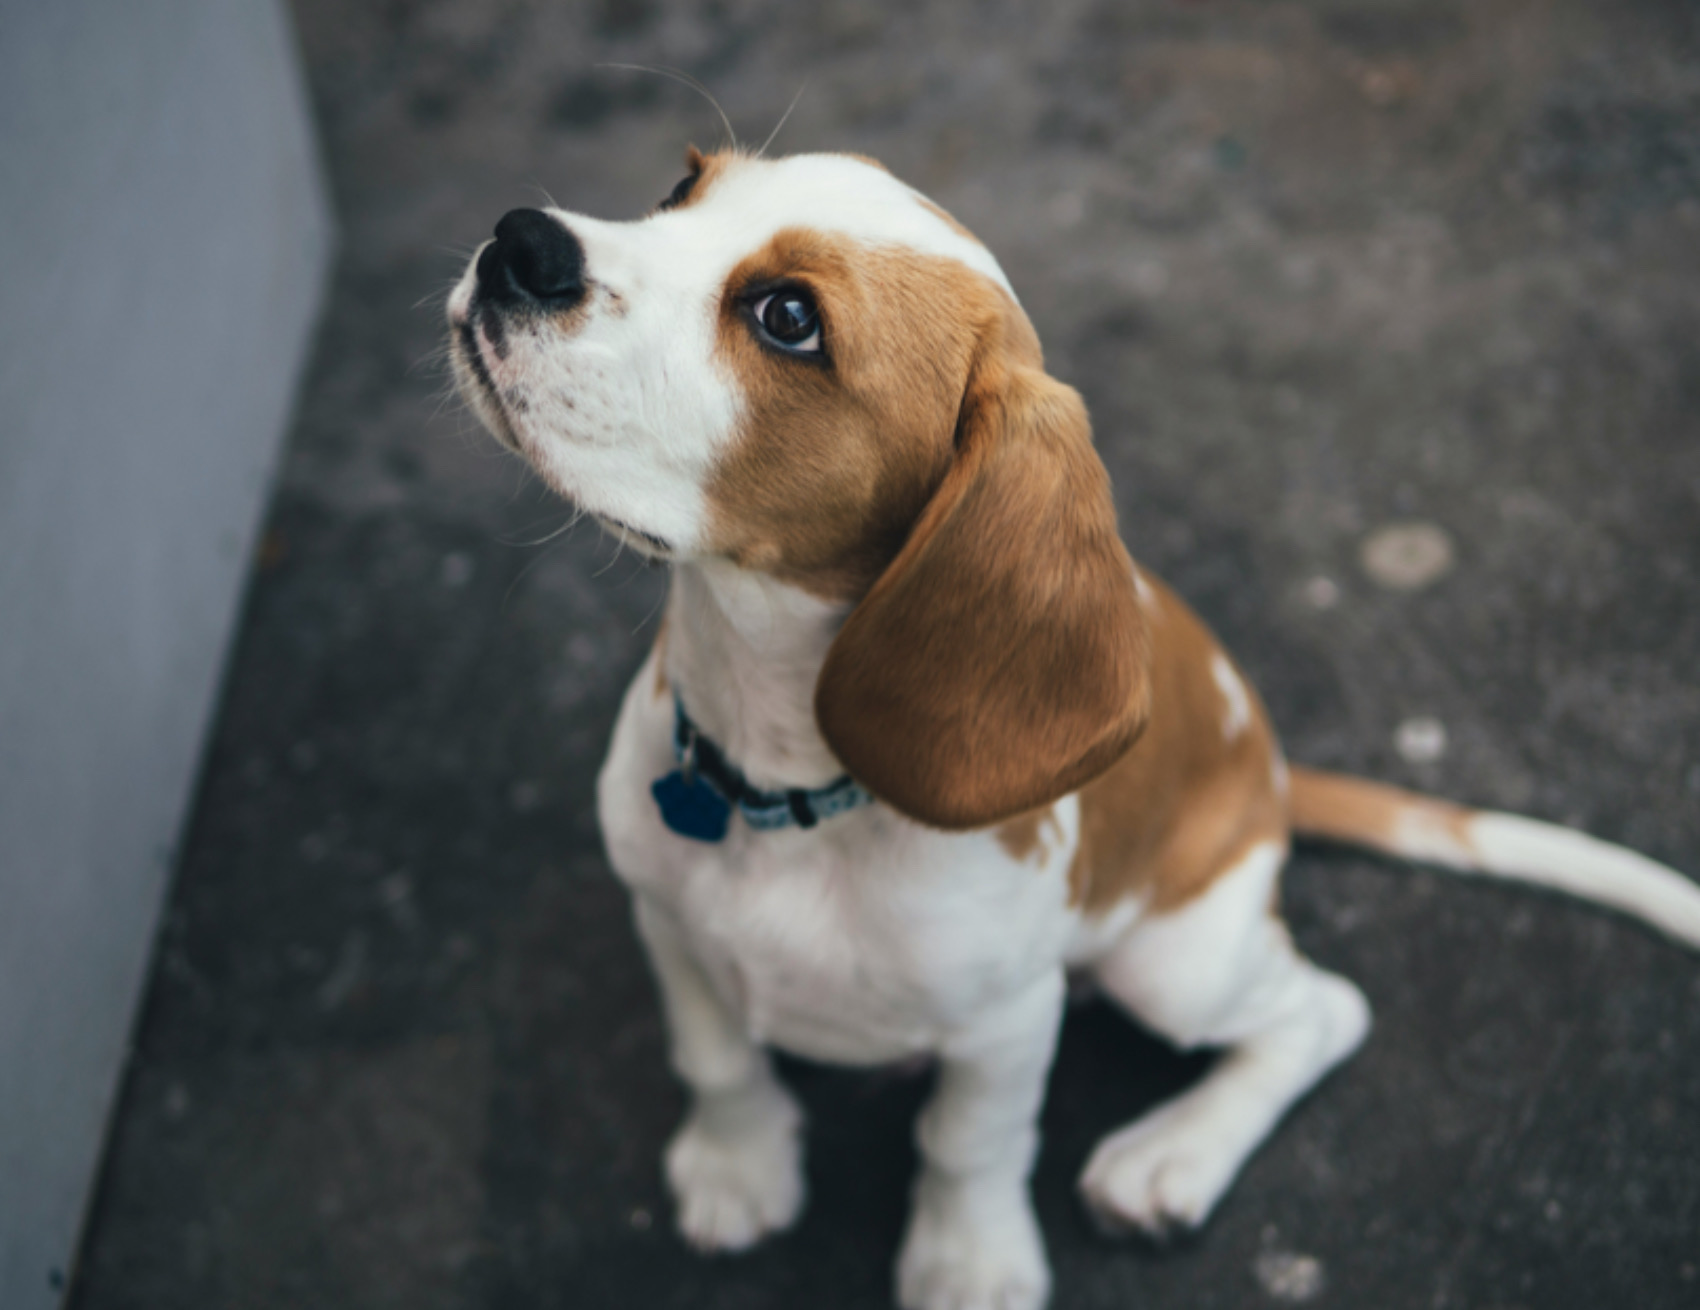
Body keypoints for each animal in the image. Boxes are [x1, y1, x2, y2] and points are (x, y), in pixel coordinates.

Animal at [448, 146, 1700, 1310]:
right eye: (680, 187)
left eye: (787, 318)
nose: (519, 241)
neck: (781, 782)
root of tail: (1273, 770)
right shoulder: (665, 916)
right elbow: (714, 1056)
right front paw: (737, 1164)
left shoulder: (1006, 1020)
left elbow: (968, 1143)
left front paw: (967, 1260)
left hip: (1173, 960)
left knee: (1322, 1010)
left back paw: (1172, 1155)